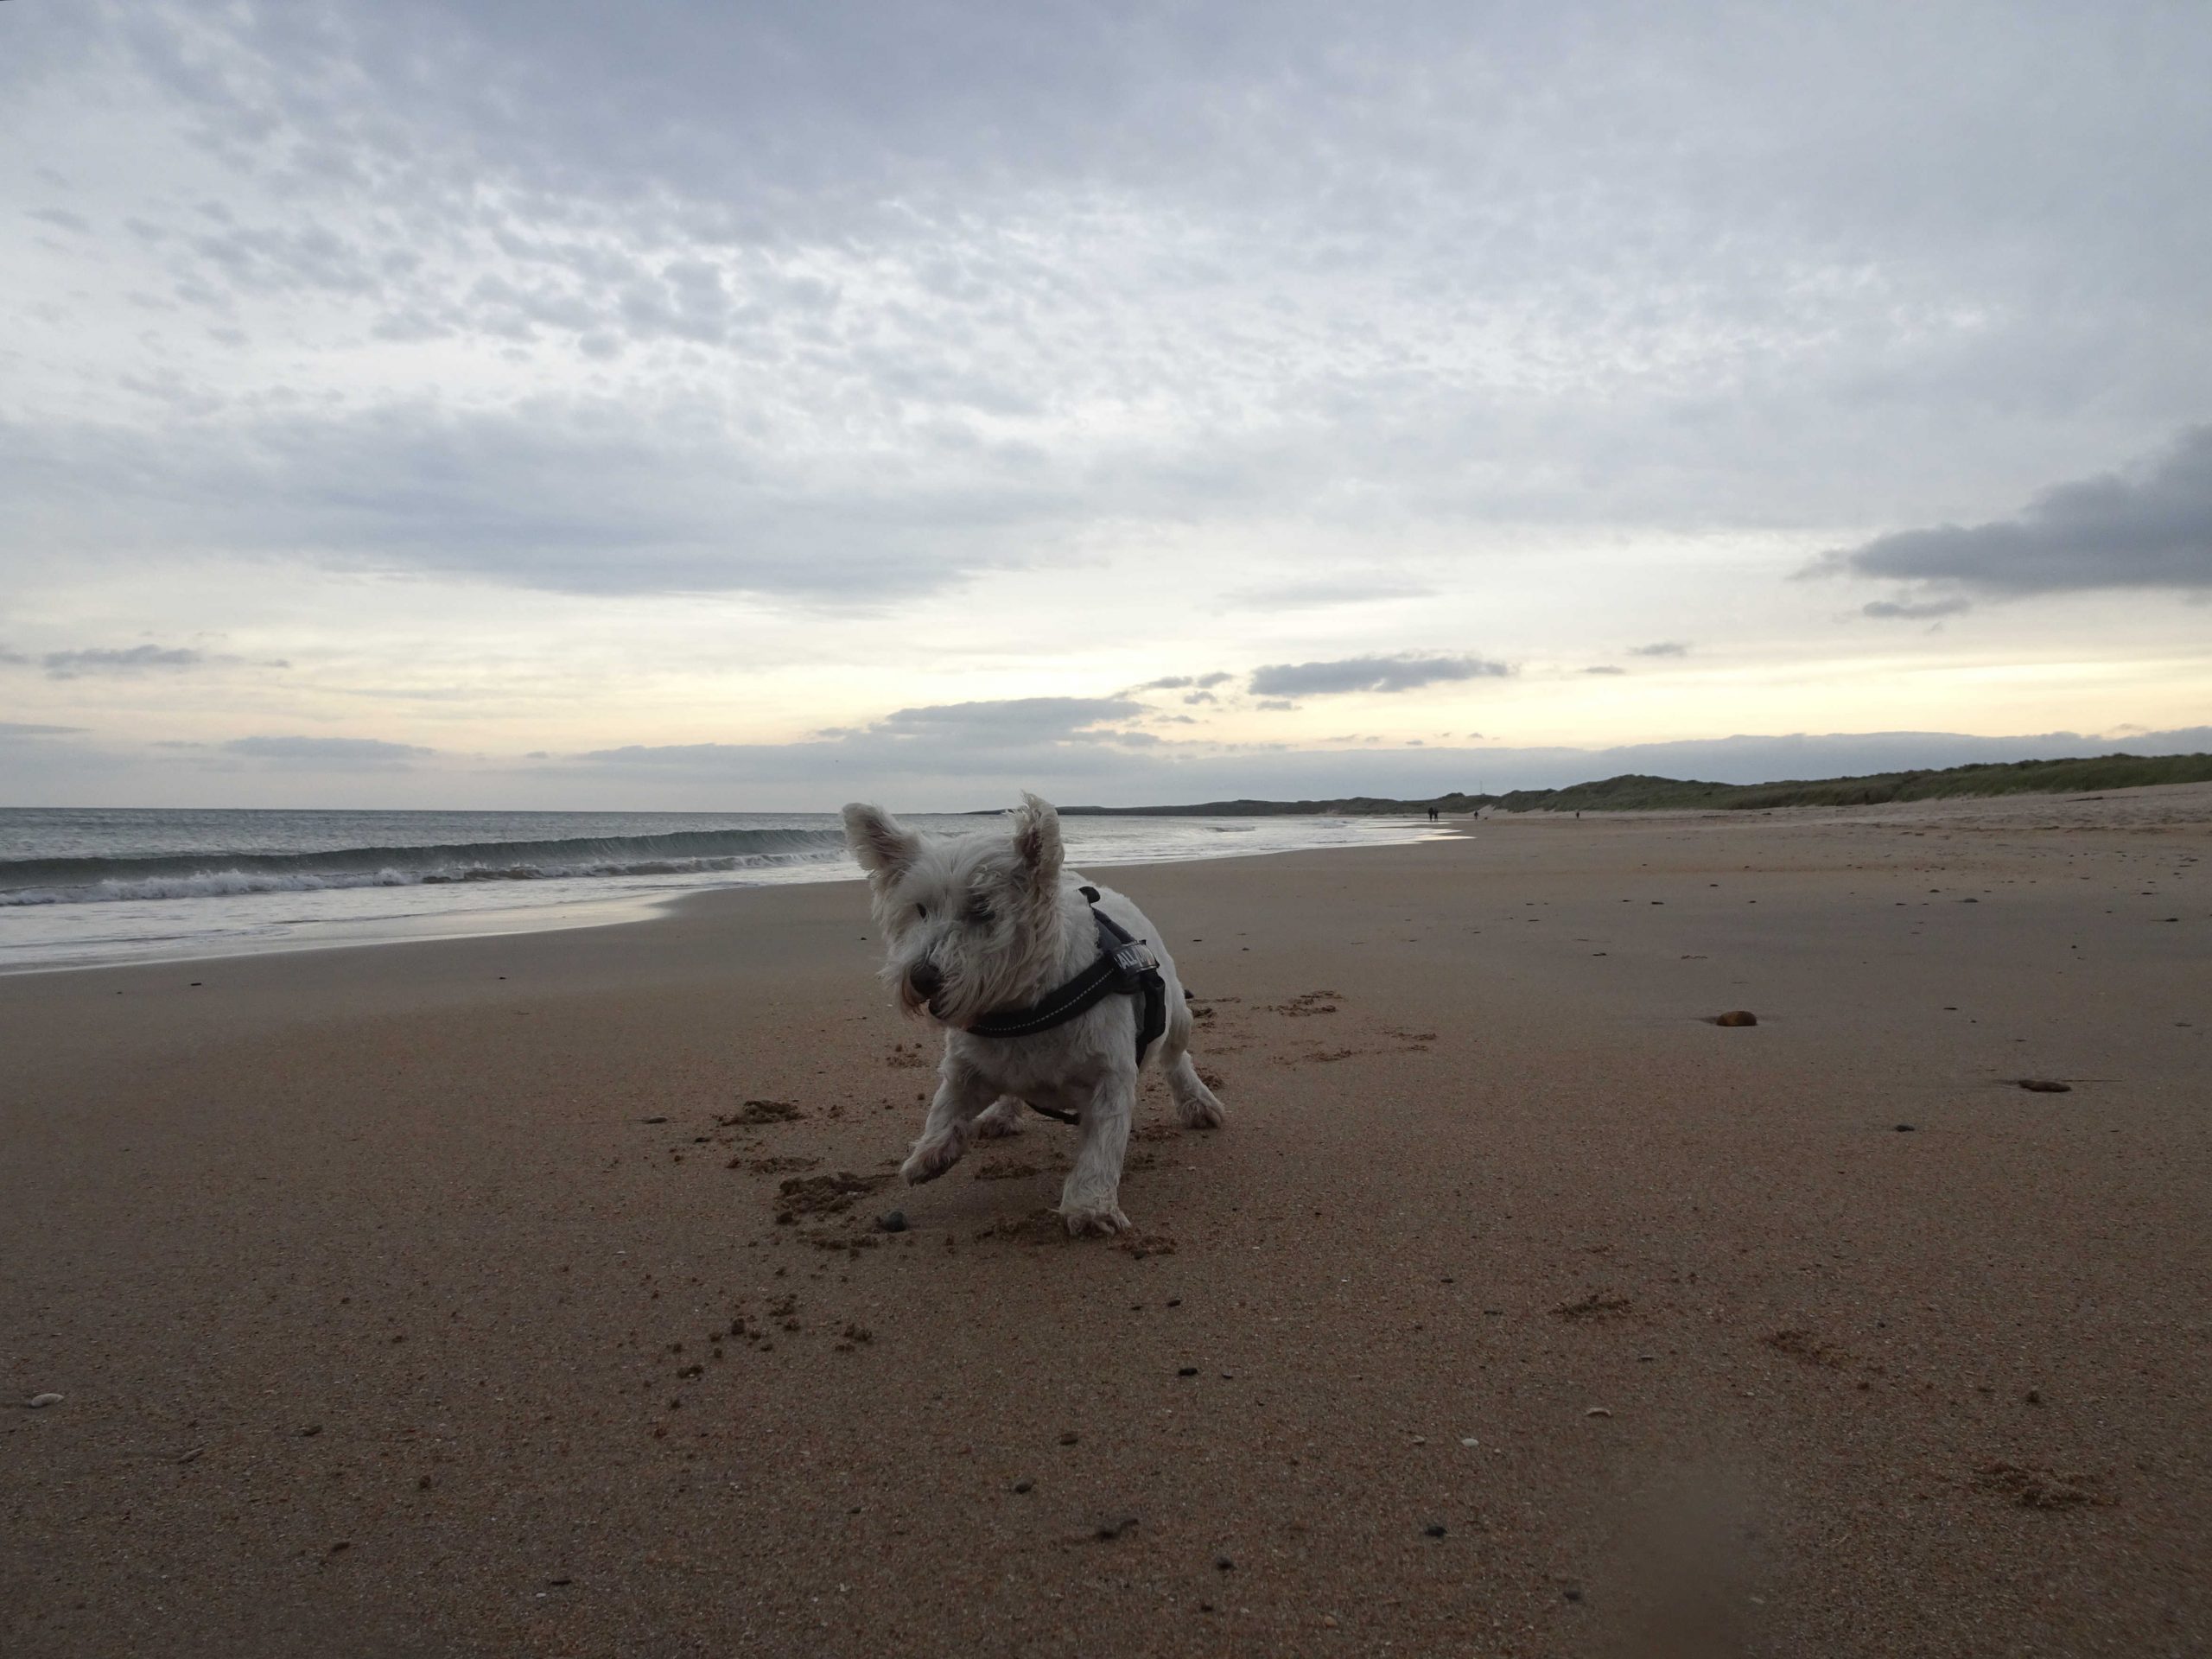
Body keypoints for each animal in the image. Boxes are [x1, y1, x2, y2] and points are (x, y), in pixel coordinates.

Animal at [844, 791, 1230, 1238]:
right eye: (921, 910)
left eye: (983, 908)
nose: (921, 977)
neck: (1021, 1009)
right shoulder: (966, 1066)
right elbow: (945, 1106)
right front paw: (930, 1153)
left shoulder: (1110, 1079)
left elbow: (1101, 1148)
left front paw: (1089, 1207)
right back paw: (1000, 1114)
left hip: (1176, 1017)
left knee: (1176, 1058)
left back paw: (1198, 1102)